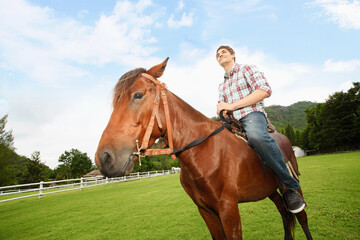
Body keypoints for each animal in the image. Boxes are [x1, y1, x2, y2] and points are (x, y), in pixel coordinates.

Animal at [95, 58, 312, 240]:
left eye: (137, 95)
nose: (104, 158)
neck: (205, 153)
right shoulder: (206, 210)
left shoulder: (228, 209)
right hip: (271, 190)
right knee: (283, 212)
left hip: (293, 185)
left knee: (301, 217)